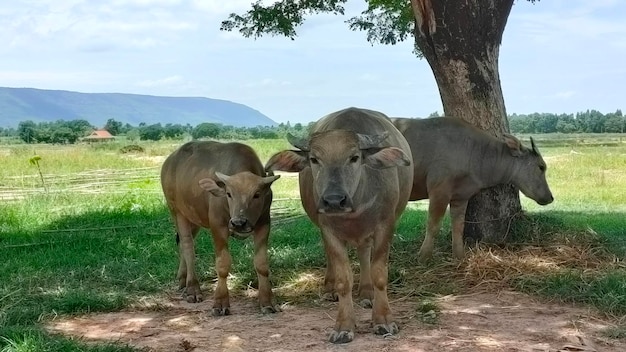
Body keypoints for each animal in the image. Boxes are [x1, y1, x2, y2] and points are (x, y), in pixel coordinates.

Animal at [160, 142, 280, 314]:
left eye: (257, 194)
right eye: (229, 194)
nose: (238, 223)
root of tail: (169, 162)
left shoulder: (263, 224)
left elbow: (262, 264)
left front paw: (267, 301)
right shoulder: (218, 226)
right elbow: (223, 264)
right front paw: (220, 302)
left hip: (193, 218)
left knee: (183, 244)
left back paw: (183, 279)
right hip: (177, 211)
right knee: (188, 246)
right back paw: (193, 288)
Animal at [264, 107, 414, 344]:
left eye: (354, 157)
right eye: (314, 159)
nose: (334, 200)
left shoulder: (385, 225)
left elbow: (380, 273)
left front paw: (383, 320)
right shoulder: (329, 230)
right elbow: (344, 280)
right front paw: (344, 326)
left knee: (364, 252)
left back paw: (367, 293)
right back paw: (330, 289)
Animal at [390, 117, 552, 262]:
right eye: (541, 166)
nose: (550, 197)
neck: (474, 154)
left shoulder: (461, 196)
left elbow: (458, 226)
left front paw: (459, 256)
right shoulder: (439, 191)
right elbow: (433, 225)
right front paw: (424, 257)